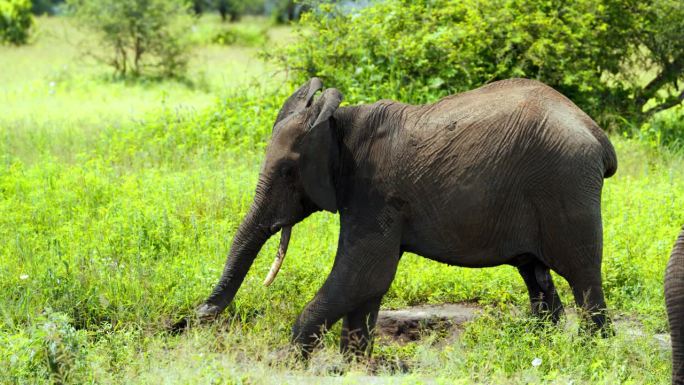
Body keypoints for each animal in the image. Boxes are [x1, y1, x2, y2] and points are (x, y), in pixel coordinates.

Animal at [179, 77, 616, 356]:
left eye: (288, 171)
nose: (196, 316)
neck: (337, 124)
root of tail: (596, 134)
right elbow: (366, 285)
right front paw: (353, 365)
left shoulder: (374, 194)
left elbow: (363, 273)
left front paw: (291, 362)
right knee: (537, 276)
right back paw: (544, 347)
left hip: (565, 186)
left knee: (583, 278)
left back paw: (591, 352)